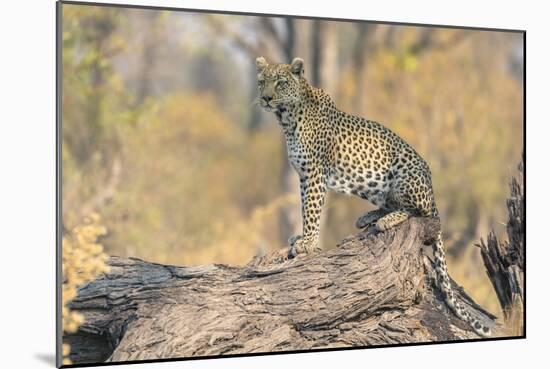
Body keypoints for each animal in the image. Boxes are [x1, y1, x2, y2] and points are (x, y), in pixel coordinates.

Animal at [256, 55, 494, 336]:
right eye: (261, 82)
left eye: (280, 83)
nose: (266, 98)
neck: (287, 118)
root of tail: (432, 189)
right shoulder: (303, 176)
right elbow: (305, 207)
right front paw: (301, 237)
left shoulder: (314, 173)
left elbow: (312, 210)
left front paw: (308, 242)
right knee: (391, 204)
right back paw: (368, 217)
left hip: (403, 174)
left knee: (418, 211)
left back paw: (386, 220)